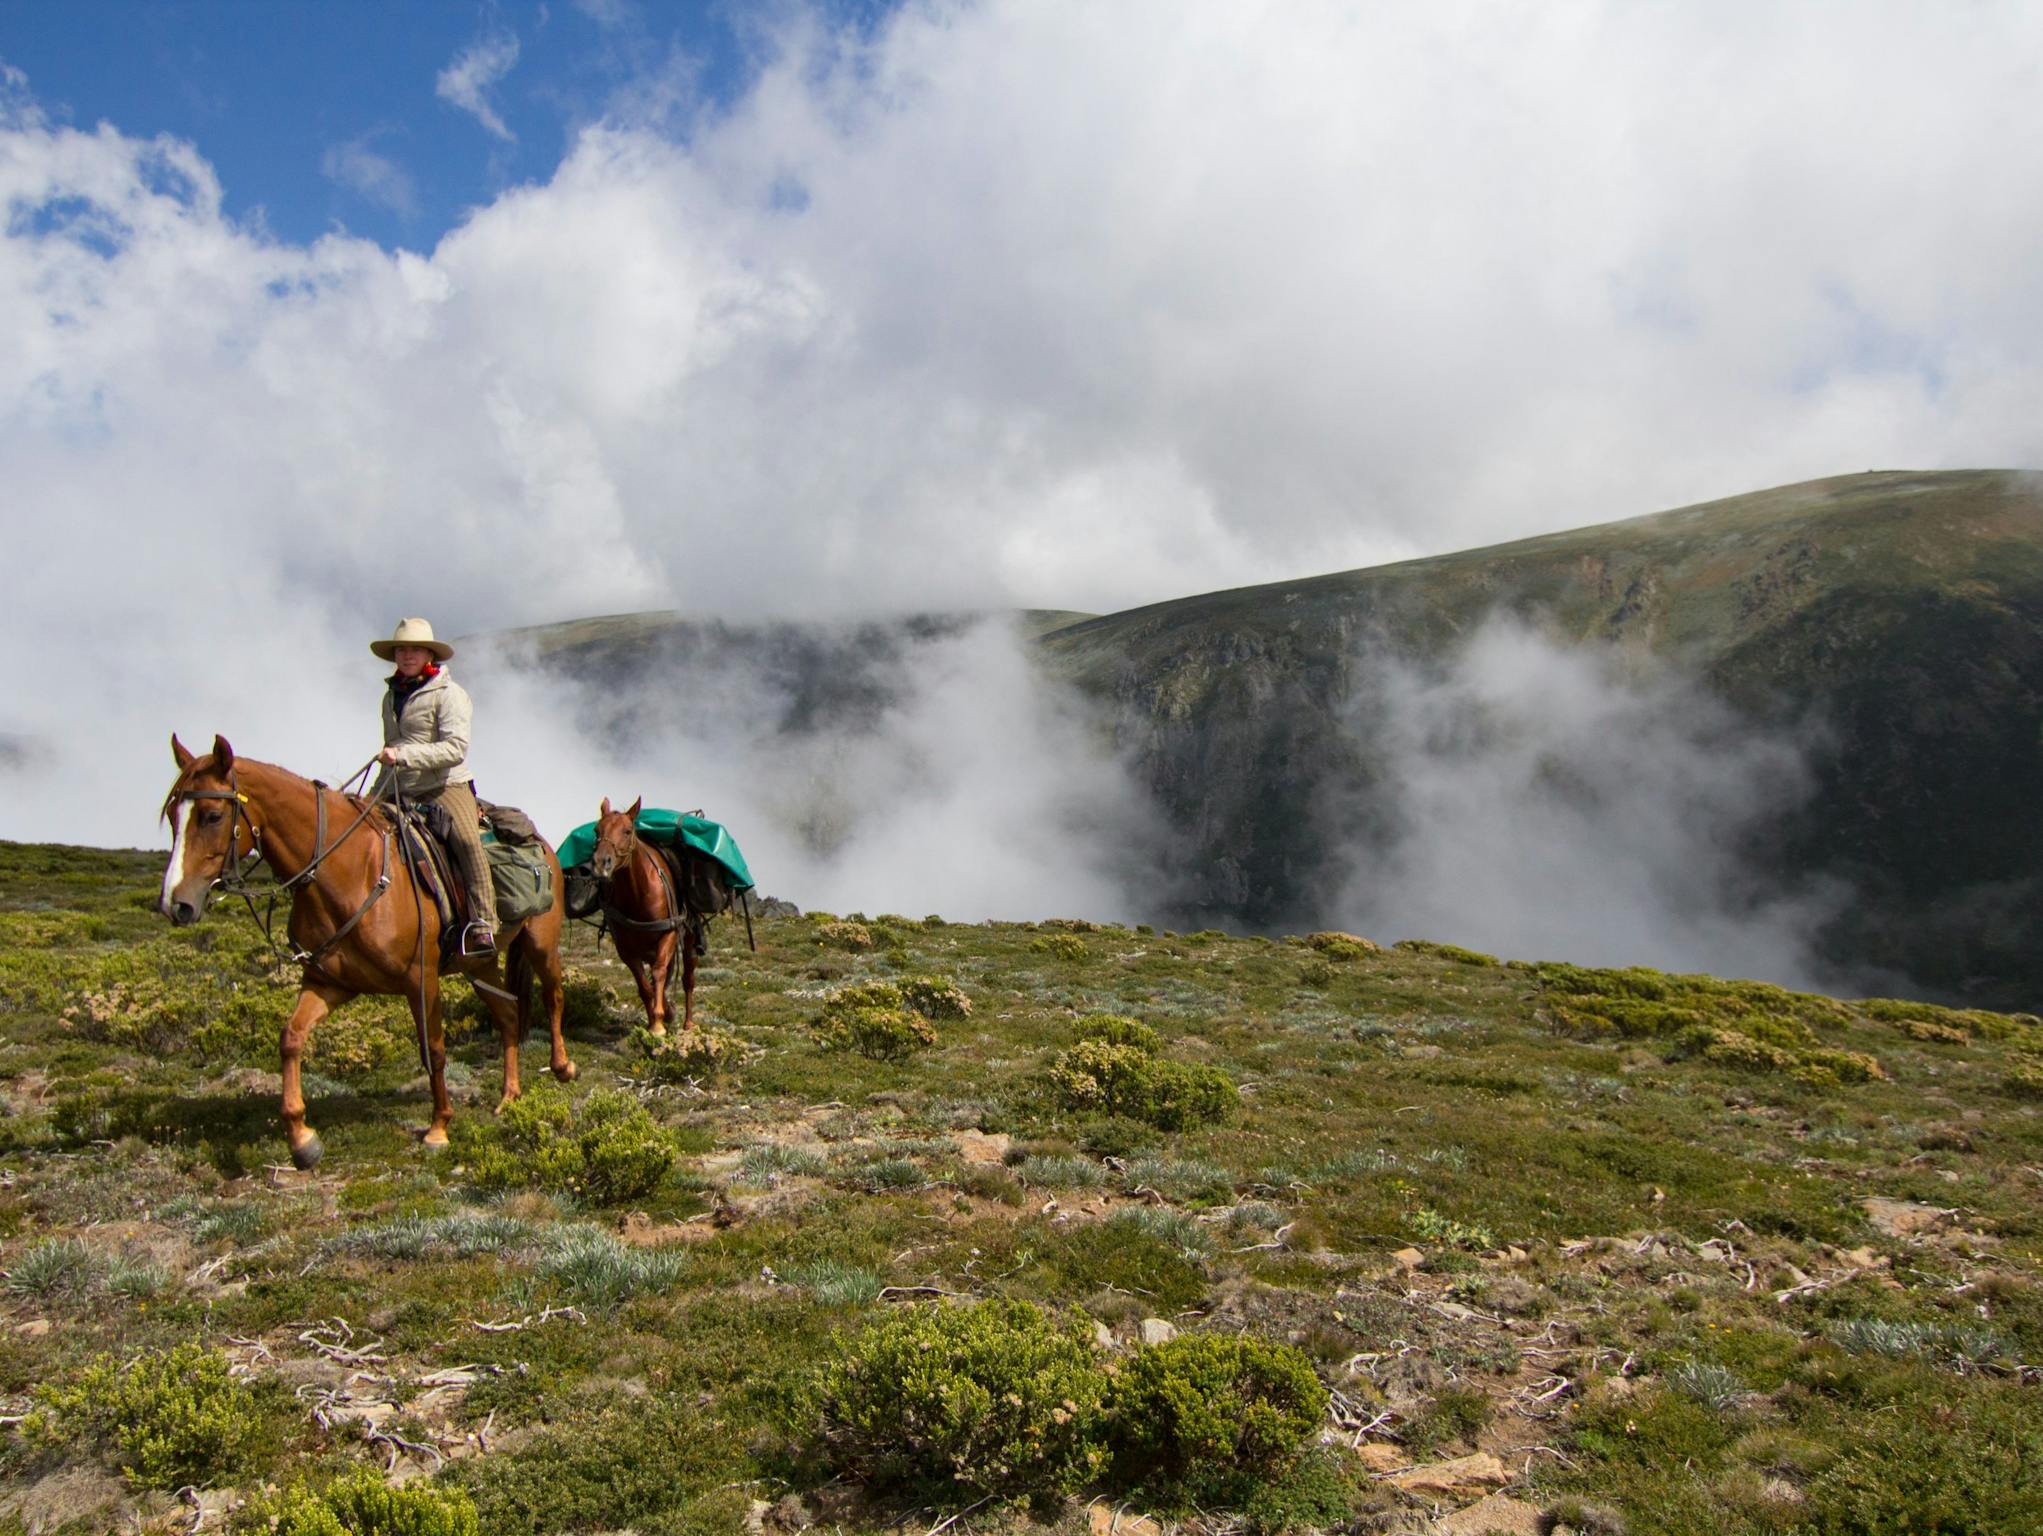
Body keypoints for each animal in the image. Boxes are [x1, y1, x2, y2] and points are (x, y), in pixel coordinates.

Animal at [596, 796, 706, 1037]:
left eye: (627, 831)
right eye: (596, 830)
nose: (600, 863)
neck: (638, 894)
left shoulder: (668, 934)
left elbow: (658, 973)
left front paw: (658, 1024)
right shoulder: (625, 949)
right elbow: (644, 985)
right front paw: (654, 1019)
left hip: (689, 937)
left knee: (688, 977)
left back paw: (688, 1023)